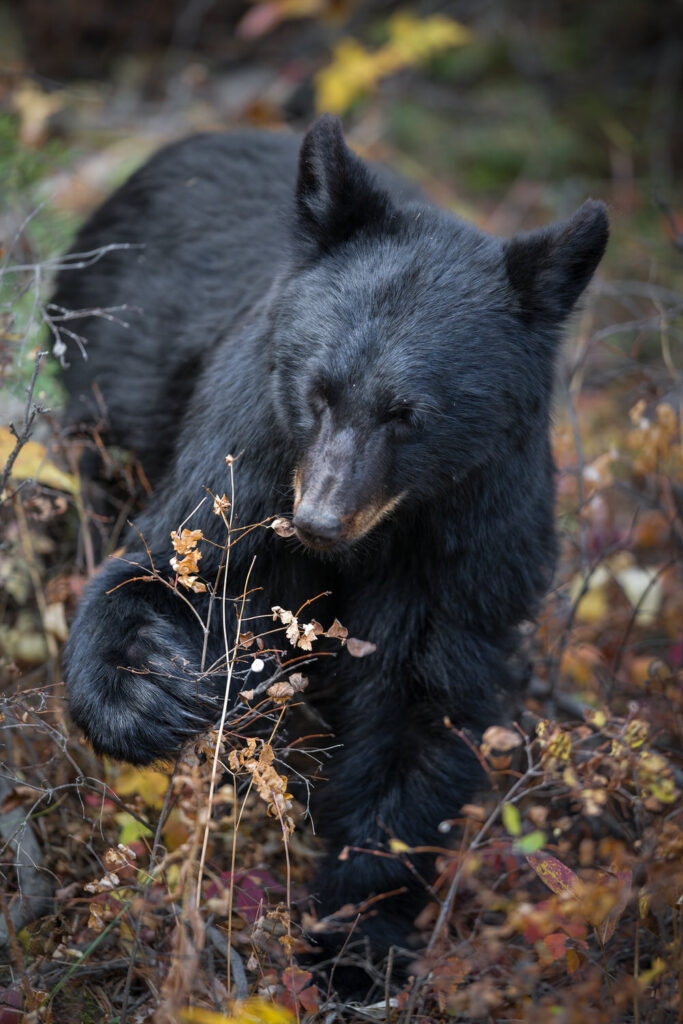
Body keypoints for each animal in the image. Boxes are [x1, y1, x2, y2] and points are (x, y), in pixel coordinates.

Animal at [54, 115, 608, 990]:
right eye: (317, 391)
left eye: (407, 415)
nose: (316, 519)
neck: (380, 534)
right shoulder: (246, 454)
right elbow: (169, 564)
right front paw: (148, 690)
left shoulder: (471, 542)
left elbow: (417, 718)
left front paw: (356, 943)